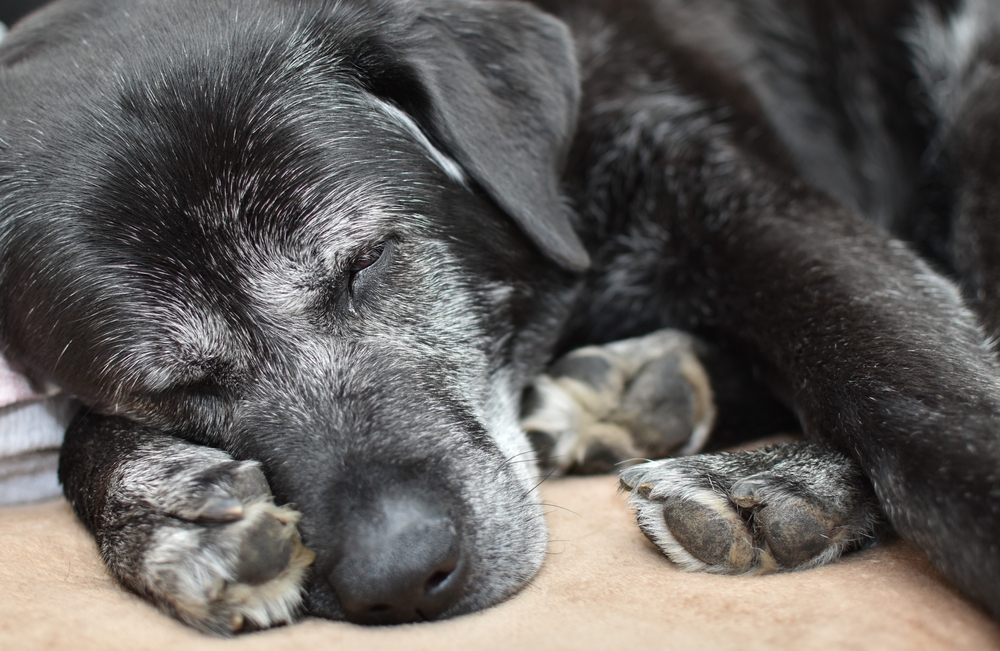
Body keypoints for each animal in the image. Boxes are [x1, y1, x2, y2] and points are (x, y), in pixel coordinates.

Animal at [1, 0, 1000, 636]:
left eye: (368, 263)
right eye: (173, 383)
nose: (401, 578)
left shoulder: (726, 192)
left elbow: (902, 382)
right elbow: (75, 437)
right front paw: (173, 517)